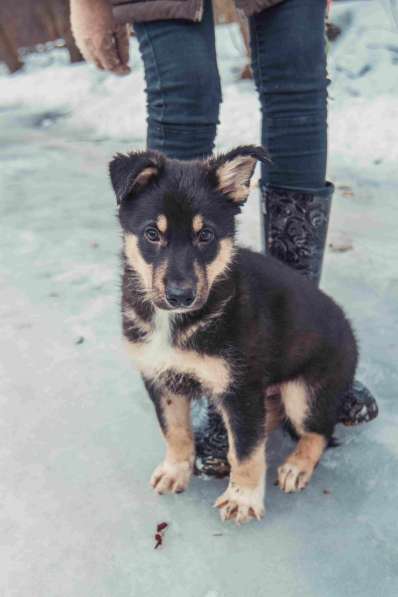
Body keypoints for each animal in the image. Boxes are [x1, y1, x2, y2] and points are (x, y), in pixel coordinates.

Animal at [108, 147, 358, 524]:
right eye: (152, 233)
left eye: (206, 236)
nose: (180, 296)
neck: (177, 322)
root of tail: (351, 334)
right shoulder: (160, 378)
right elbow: (175, 430)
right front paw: (175, 470)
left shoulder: (240, 388)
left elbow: (247, 452)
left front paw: (242, 498)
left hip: (304, 393)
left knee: (317, 432)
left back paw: (296, 467)